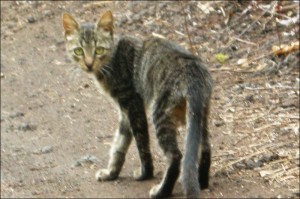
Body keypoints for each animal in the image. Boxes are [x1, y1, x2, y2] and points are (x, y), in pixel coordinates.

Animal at [62, 11, 213, 199]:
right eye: (79, 51)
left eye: (99, 50)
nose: (89, 64)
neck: (112, 60)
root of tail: (193, 70)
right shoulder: (124, 111)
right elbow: (119, 144)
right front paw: (111, 173)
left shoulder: (133, 103)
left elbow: (141, 142)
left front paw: (145, 173)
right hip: (198, 114)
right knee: (205, 148)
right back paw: (202, 182)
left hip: (161, 112)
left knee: (176, 156)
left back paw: (162, 191)